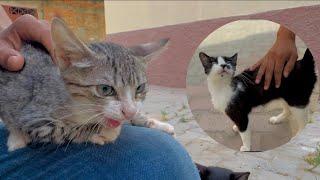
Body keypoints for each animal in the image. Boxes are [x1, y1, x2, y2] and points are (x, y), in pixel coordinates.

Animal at [0, 17, 174, 152]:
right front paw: (106, 131)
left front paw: (153, 122)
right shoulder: (34, 119)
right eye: (105, 89)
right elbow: (67, 129)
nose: (129, 112)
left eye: (140, 88)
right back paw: (16, 139)